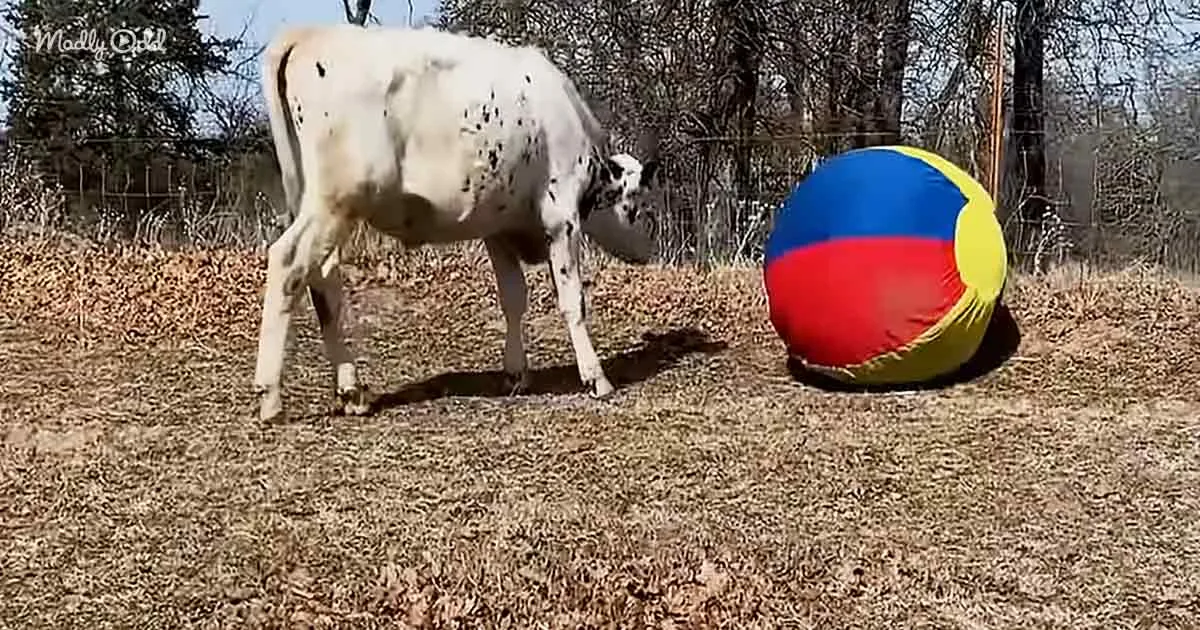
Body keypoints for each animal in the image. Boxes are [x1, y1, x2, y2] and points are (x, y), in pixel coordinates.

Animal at [253, 24, 662, 422]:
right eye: (639, 204)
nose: (648, 250)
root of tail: (309, 32)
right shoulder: (561, 218)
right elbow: (572, 299)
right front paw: (595, 377)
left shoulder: (499, 227)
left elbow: (513, 299)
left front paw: (516, 373)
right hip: (337, 199)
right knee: (288, 261)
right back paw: (271, 397)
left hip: (318, 202)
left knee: (323, 277)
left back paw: (351, 391)